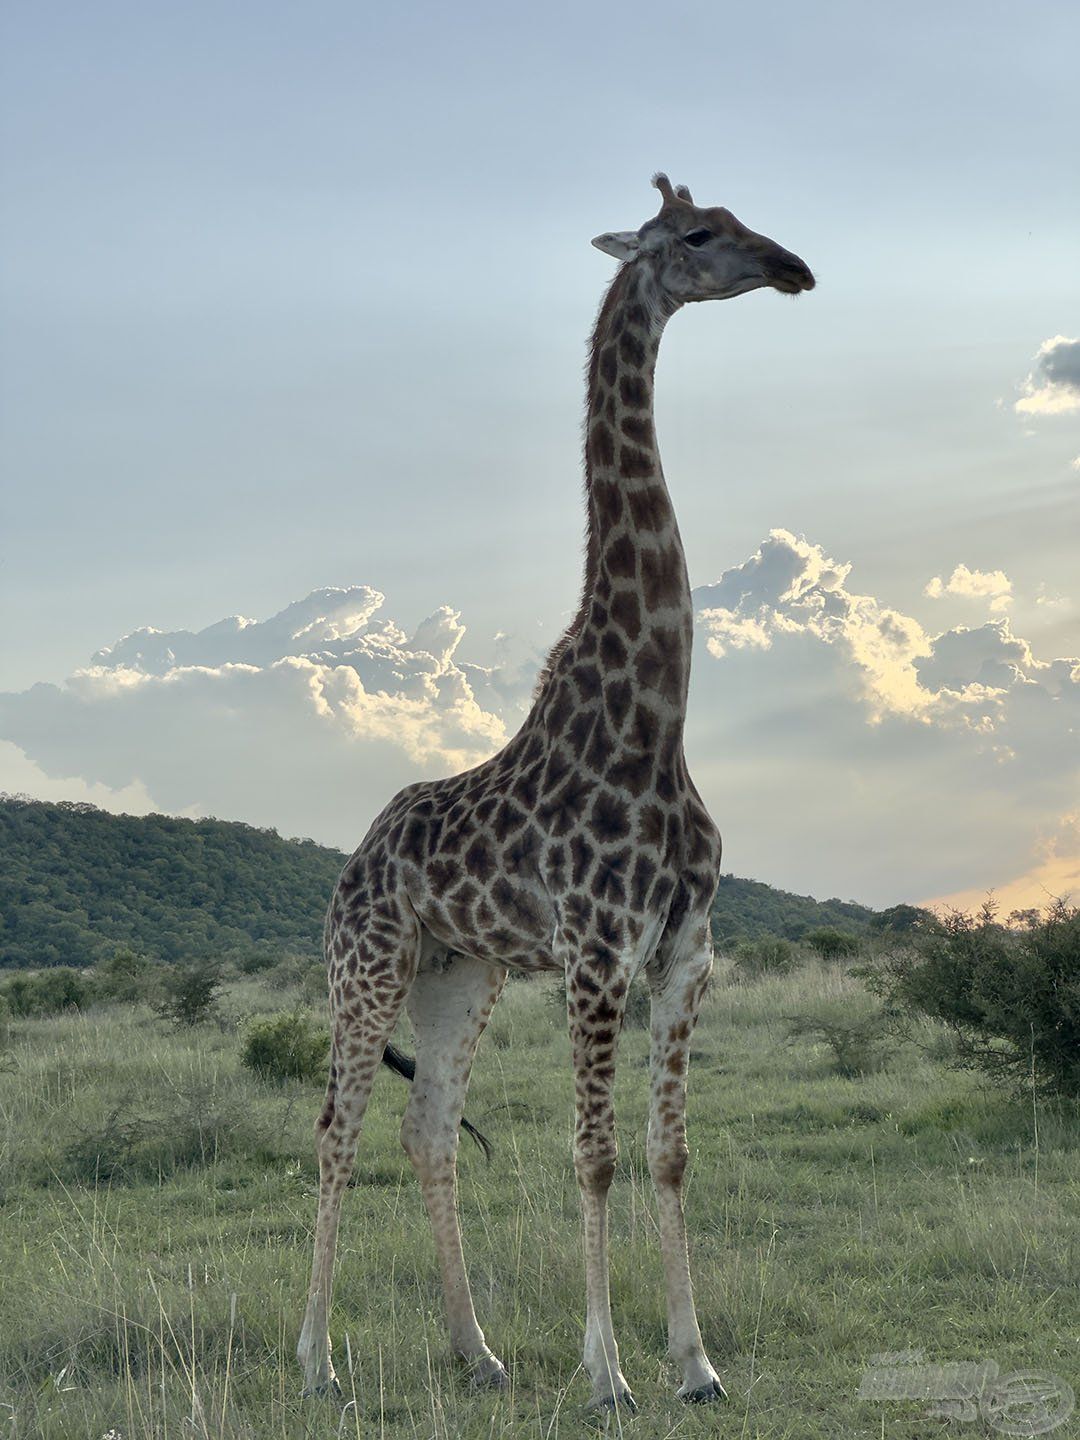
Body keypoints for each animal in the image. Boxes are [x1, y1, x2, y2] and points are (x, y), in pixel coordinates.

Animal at [296, 174, 812, 1411]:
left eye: (743, 218)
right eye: (697, 235)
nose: (795, 269)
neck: (656, 723)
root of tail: (356, 855)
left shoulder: (685, 955)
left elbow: (669, 1152)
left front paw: (697, 1364)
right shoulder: (594, 952)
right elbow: (595, 1154)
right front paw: (607, 1374)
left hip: (459, 972)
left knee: (427, 1130)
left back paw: (474, 1351)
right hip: (366, 963)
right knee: (336, 1129)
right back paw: (317, 1361)